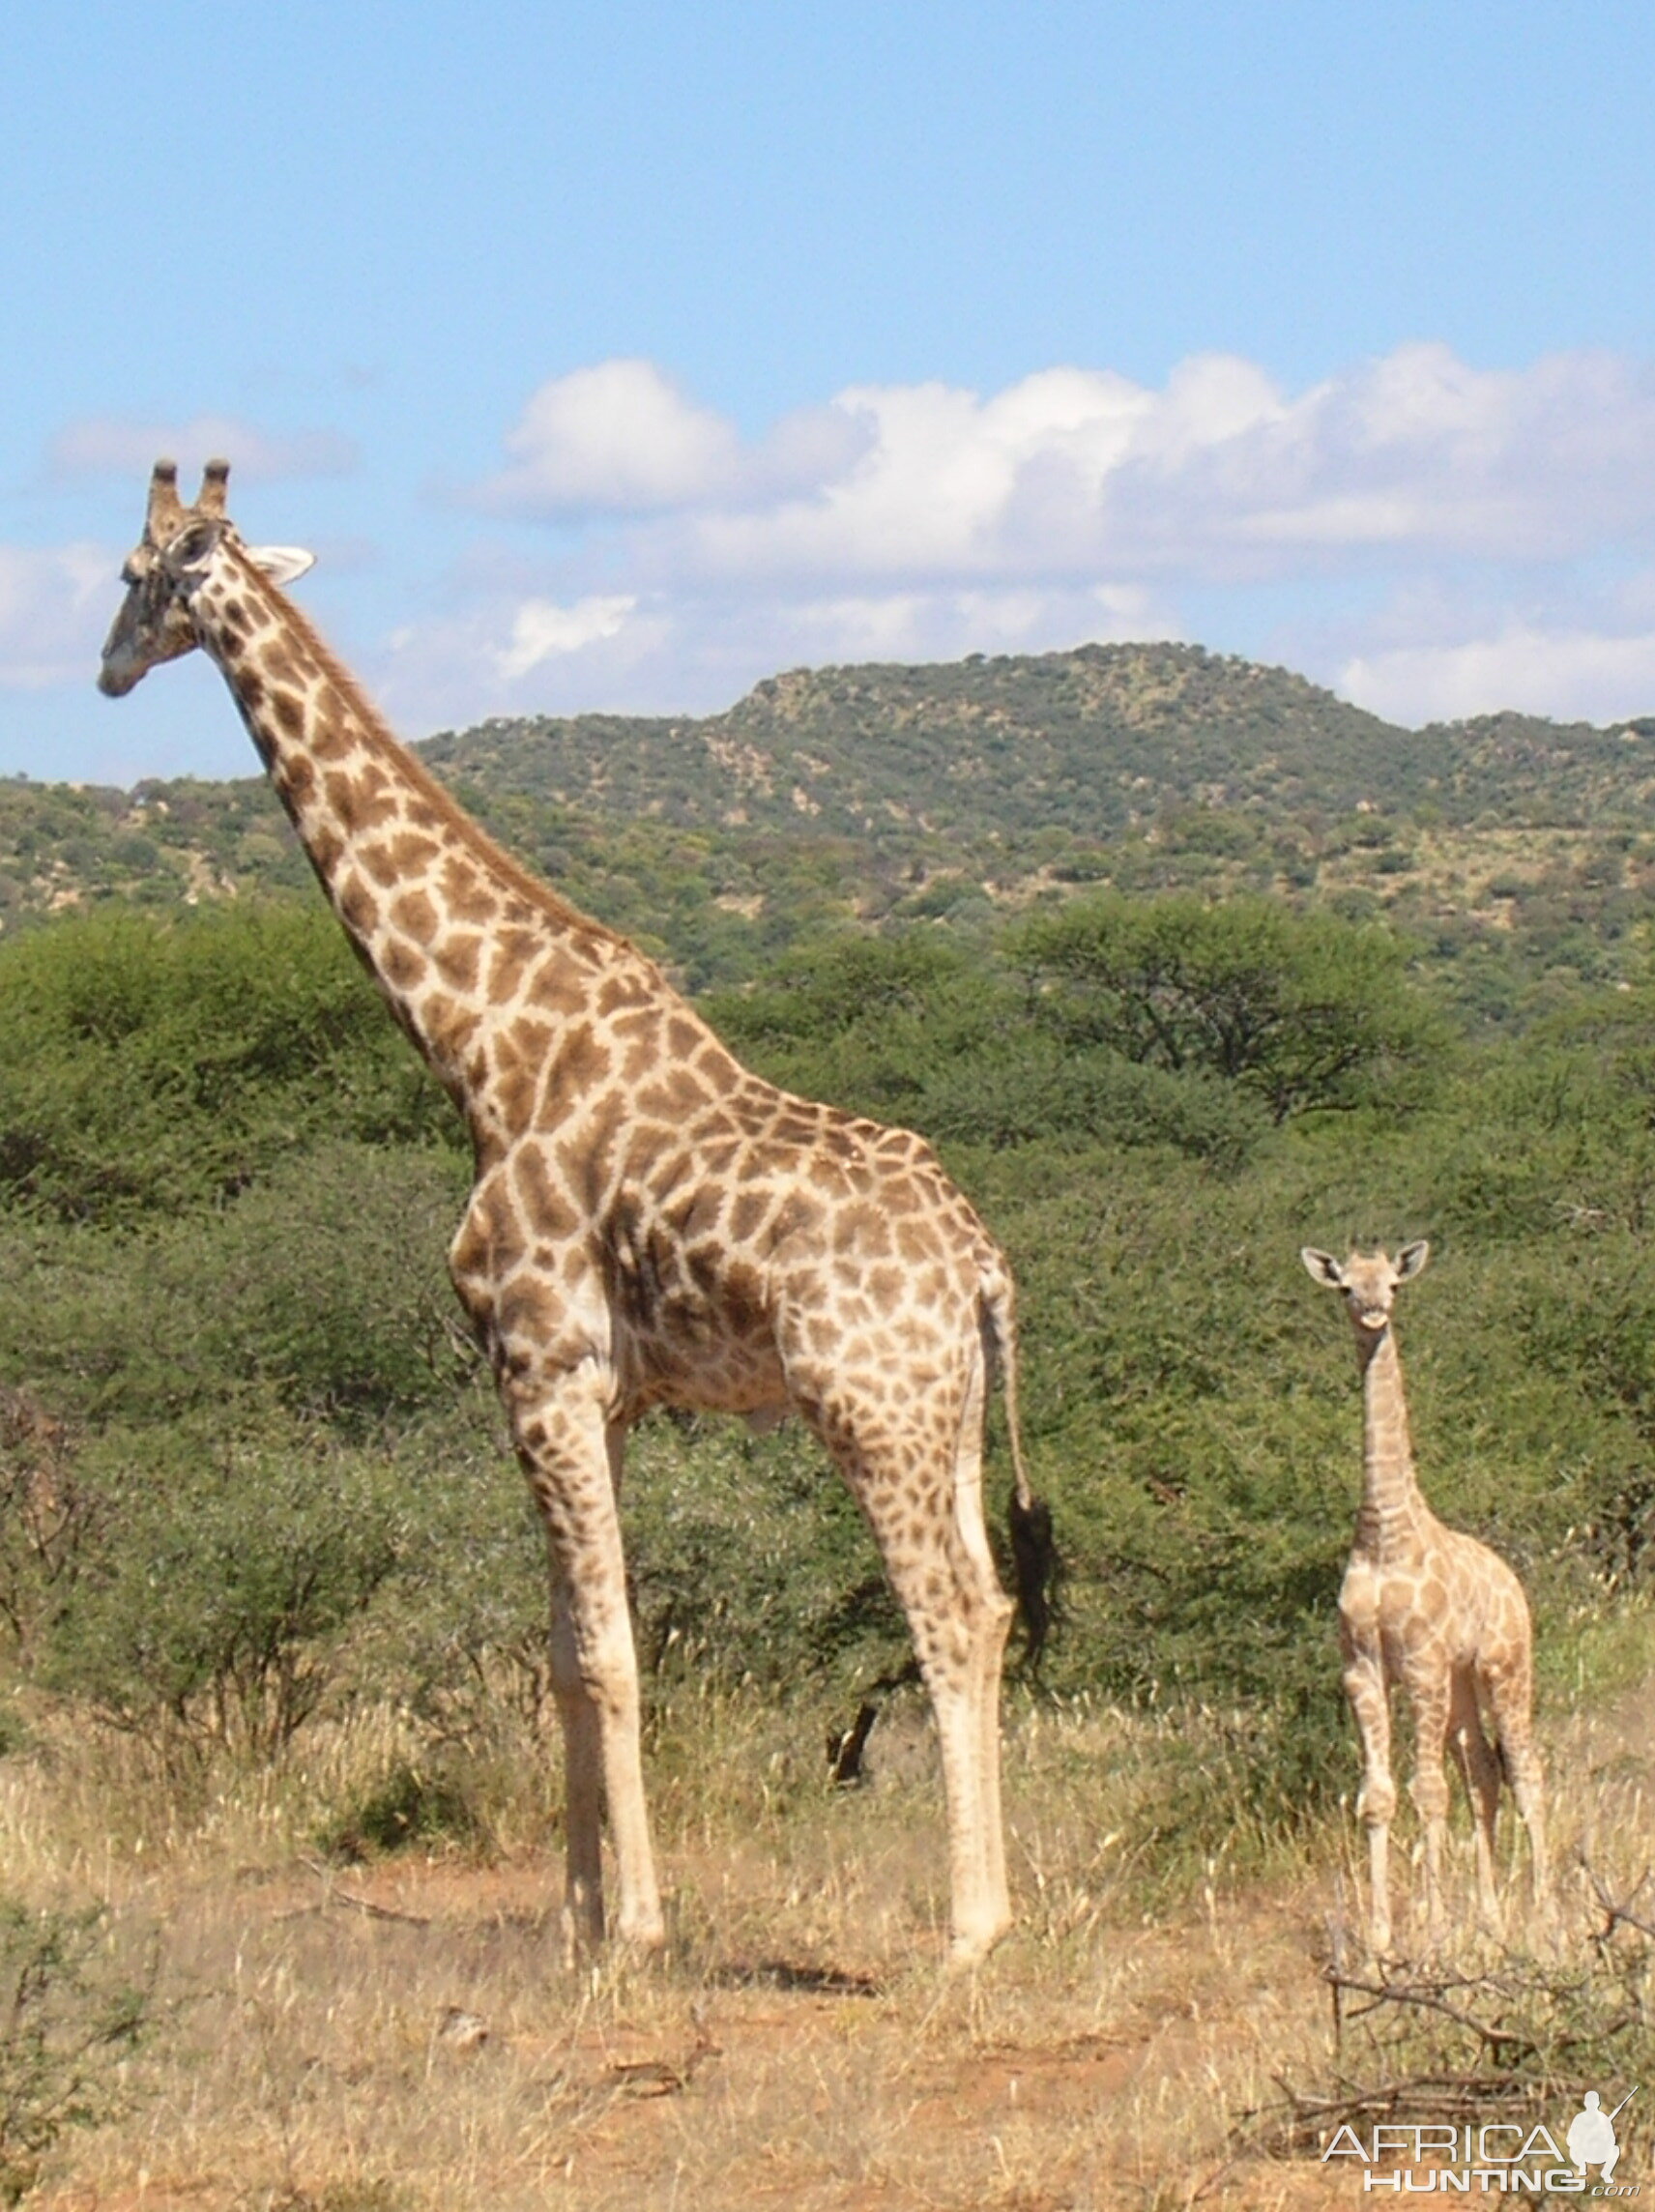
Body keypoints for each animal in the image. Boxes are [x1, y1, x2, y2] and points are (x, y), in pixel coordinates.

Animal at [100, 457, 1048, 1964]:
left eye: (137, 575)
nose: (106, 668)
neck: (484, 1045)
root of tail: (982, 1264)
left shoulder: (539, 1362)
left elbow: (606, 1653)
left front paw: (638, 1929)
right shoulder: (599, 1394)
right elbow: (559, 1654)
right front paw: (573, 1911)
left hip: (867, 1408)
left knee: (948, 1612)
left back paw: (966, 1931)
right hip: (943, 1411)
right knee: (994, 1600)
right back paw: (992, 1902)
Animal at [1309, 1247, 1549, 1955]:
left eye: (1392, 1282)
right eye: (1345, 1287)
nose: (1373, 1311)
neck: (1385, 1531)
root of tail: (1513, 1583)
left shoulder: (1420, 1666)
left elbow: (1428, 1791)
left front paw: (1437, 1930)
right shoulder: (1362, 1670)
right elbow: (1380, 1795)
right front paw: (1382, 1938)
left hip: (1505, 1669)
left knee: (1526, 1772)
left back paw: (1549, 1917)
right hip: (1464, 1685)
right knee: (1485, 1775)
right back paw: (1494, 1921)